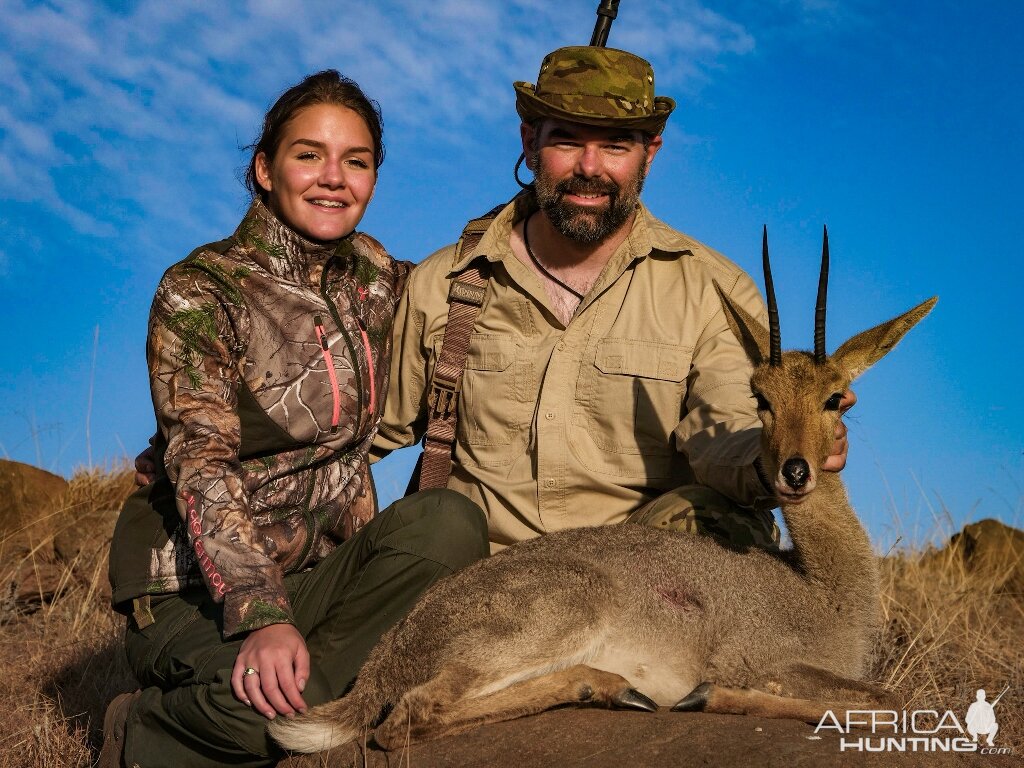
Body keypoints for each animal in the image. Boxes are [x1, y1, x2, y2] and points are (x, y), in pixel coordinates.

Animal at [270, 225, 937, 753]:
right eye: (761, 398)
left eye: (835, 398)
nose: (794, 472)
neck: (826, 593)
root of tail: (387, 656)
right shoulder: (761, 655)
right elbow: (894, 701)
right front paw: (708, 695)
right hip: (555, 616)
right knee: (407, 716)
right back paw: (615, 688)